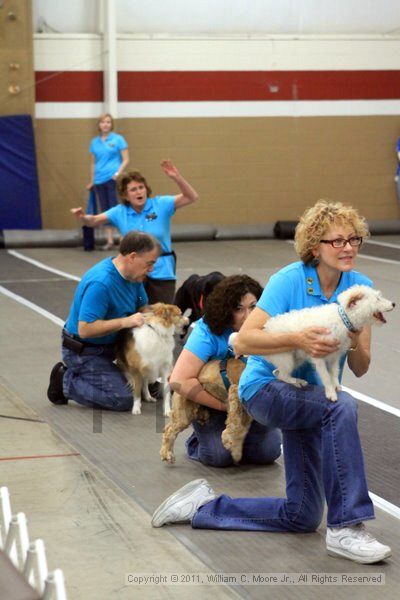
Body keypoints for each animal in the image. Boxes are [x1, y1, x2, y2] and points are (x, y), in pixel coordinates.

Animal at [231, 286, 394, 404]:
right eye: (377, 298)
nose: (394, 303)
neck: (342, 319)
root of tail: (266, 329)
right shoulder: (319, 357)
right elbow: (326, 377)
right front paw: (331, 393)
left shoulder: (334, 357)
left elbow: (333, 373)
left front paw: (336, 386)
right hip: (287, 359)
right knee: (282, 375)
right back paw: (297, 381)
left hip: (295, 359)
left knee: (277, 373)